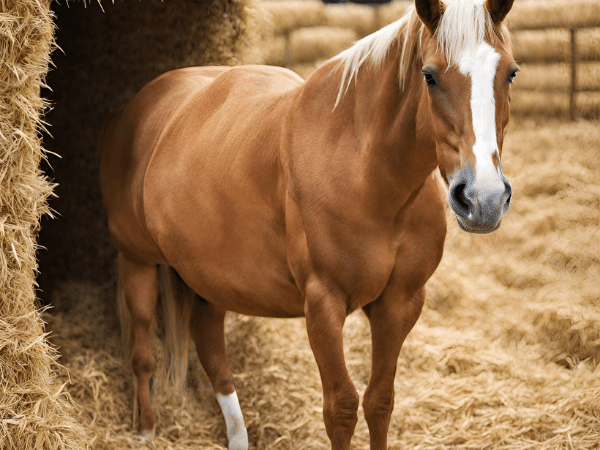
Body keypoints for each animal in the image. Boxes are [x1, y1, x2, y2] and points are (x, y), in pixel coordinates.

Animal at [98, 0, 516, 446]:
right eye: (429, 75)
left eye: (510, 72)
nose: (484, 199)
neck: (365, 172)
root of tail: (143, 104)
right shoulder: (322, 305)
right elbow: (342, 408)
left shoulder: (400, 303)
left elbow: (380, 401)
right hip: (138, 262)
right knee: (142, 353)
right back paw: (145, 430)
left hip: (209, 277)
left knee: (211, 350)